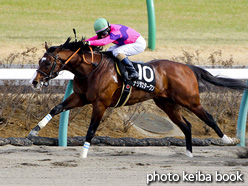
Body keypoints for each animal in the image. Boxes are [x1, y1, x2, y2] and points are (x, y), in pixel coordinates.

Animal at [28, 38, 248, 158]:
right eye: (40, 61)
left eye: (47, 62)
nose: (35, 82)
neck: (91, 69)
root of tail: (187, 67)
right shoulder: (80, 97)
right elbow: (56, 109)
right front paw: (34, 131)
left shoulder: (100, 104)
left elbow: (91, 129)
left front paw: (83, 153)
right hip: (166, 103)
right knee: (186, 125)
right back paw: (189, 153)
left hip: (190, 100)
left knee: (208, 117)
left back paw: (229, 140)